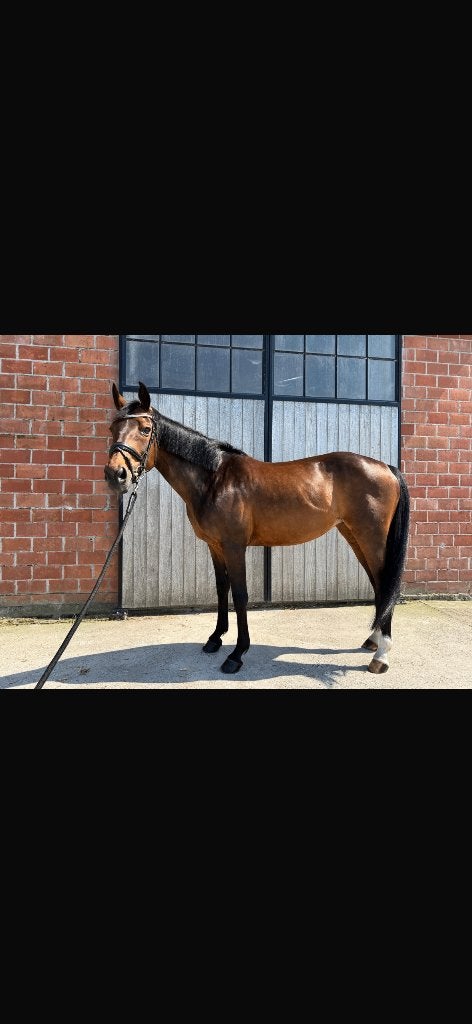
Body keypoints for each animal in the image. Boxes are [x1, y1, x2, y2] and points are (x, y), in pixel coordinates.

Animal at [105, 382, 410, 676]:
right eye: (112, 428)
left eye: (145, 429)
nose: (115, 475)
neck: (215, 480)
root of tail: (386, 467)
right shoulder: (214, 546)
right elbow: (222, 589)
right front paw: (215, 639)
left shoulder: (234, 546)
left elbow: (240, 595)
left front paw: (237, 654)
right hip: (354, 536)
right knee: (378, 584)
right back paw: (373, 641)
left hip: (372, 539)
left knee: (384, 582)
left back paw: (381, 656)